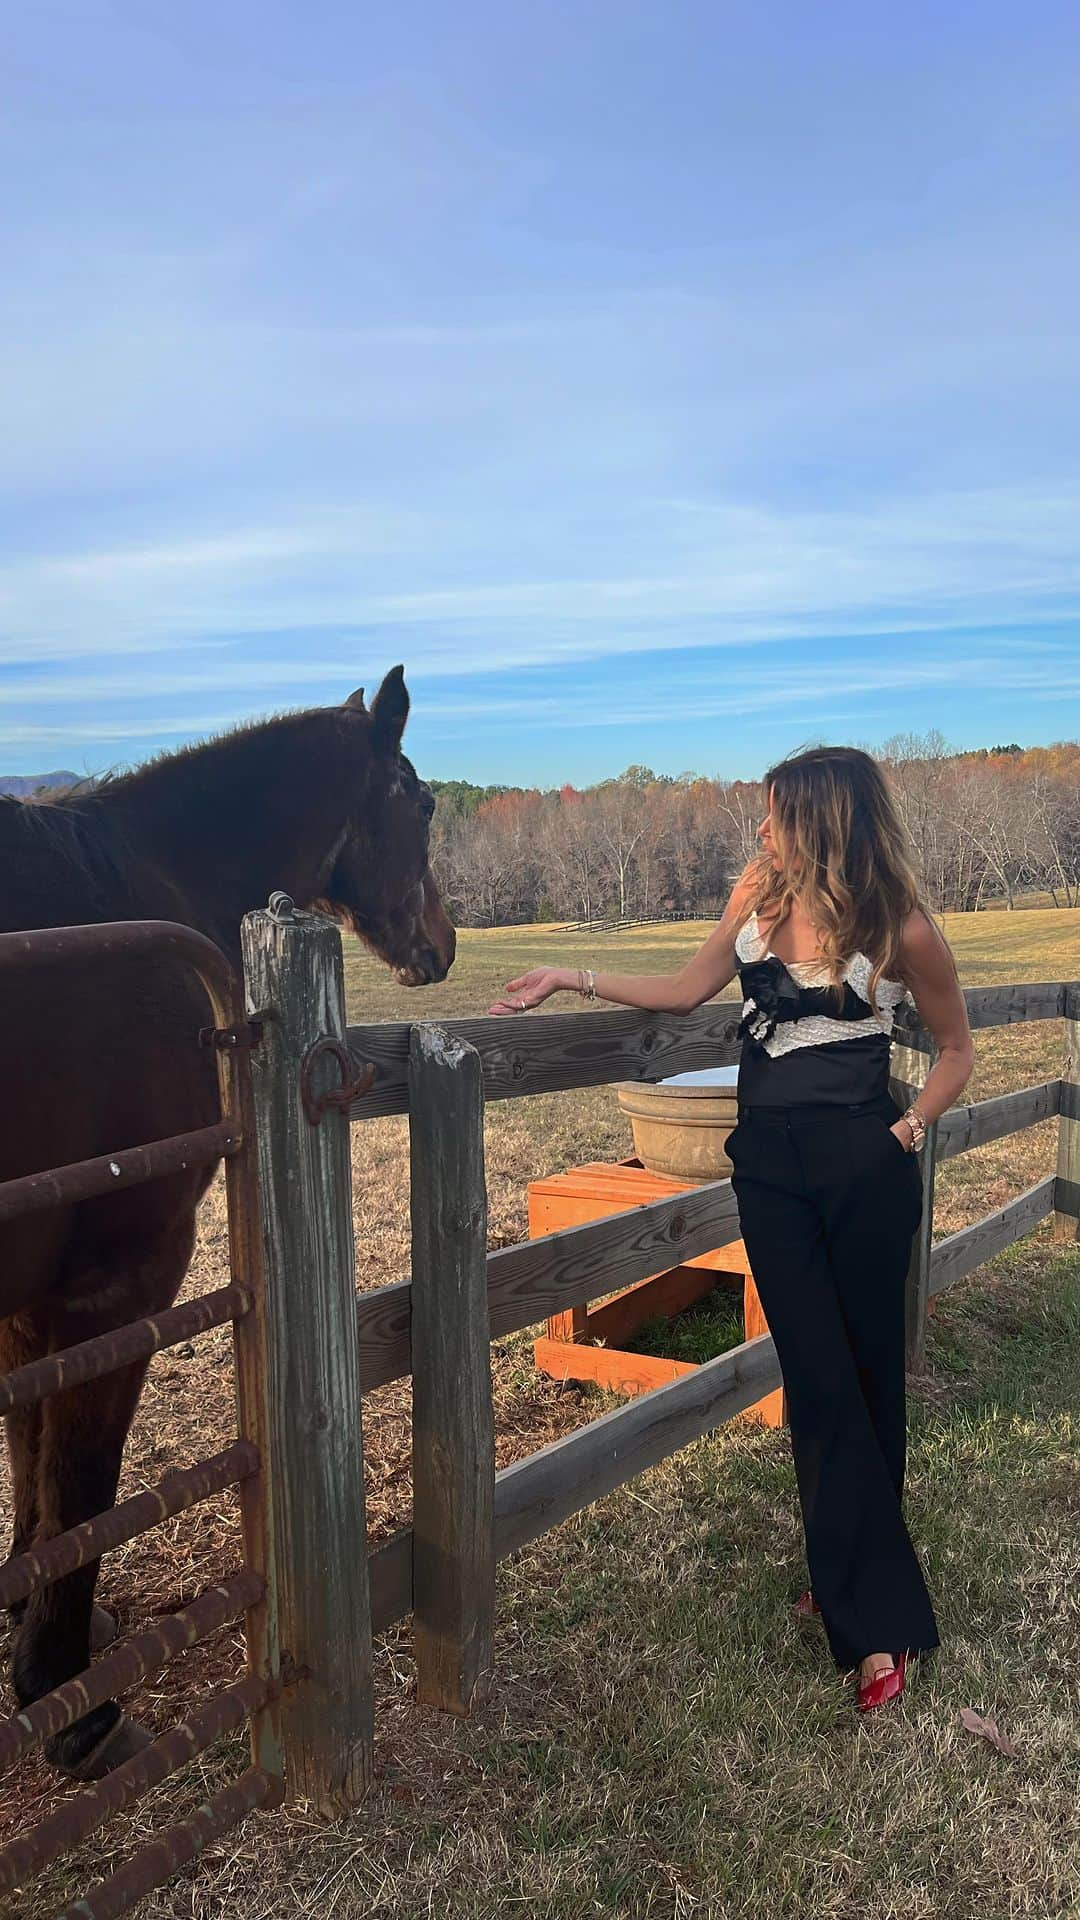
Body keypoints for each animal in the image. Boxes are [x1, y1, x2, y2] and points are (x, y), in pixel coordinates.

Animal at [0, 668, 453, 1774]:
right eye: (422, 802)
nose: (444, 940)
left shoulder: (30, 1298)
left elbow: (31, 1452)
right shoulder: (119, 1273)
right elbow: (78, 1471)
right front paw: (70, 1704)